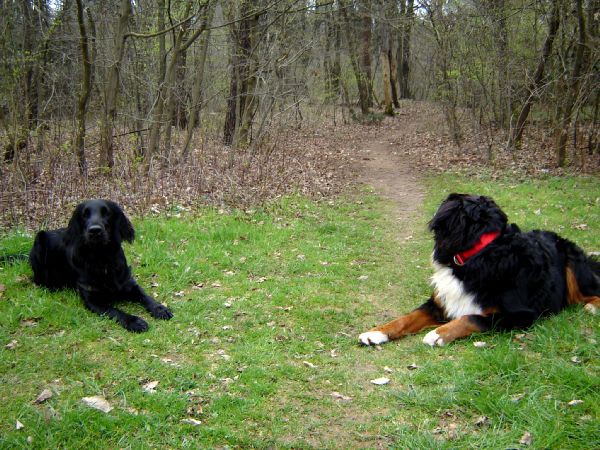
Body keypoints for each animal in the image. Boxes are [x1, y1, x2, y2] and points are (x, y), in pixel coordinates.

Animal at [29, 200, 172, 330]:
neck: (102, 258)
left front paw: (160, 309)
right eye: (84, 214)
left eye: (106, 213)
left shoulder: (129, 283)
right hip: (39, 239)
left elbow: (145, 296)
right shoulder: (93, 300)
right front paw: (134, 321)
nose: (95, 231)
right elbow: (115, 311)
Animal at [358, 194, 596, 348]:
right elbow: (405, 318)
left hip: (573, 266)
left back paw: (592, 307)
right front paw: (376, 332)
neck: (476, 256)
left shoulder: (521, 314)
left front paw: (438, 333)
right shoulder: (440, 303)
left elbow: (471, 318)